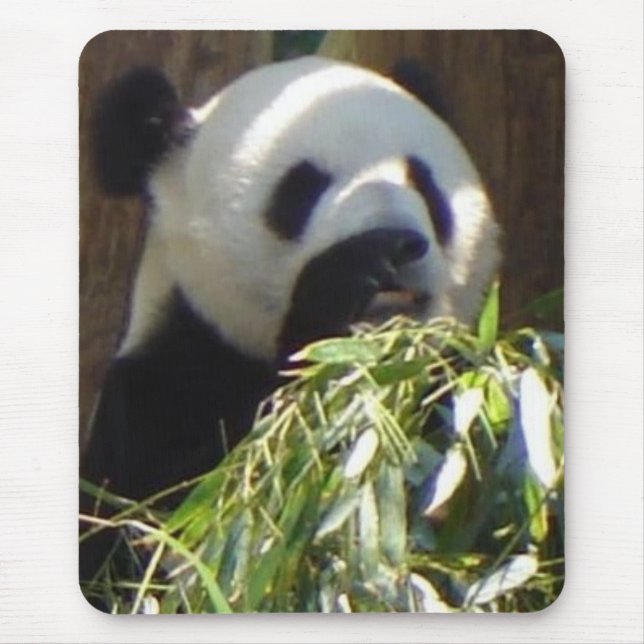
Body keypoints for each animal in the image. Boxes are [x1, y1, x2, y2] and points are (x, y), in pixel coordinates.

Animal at [80, 56, 500, 588]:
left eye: (423, 181)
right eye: (301, 189)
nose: (398, 242)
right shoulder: (158, 398)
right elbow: (176, 524)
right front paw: (347, 276)